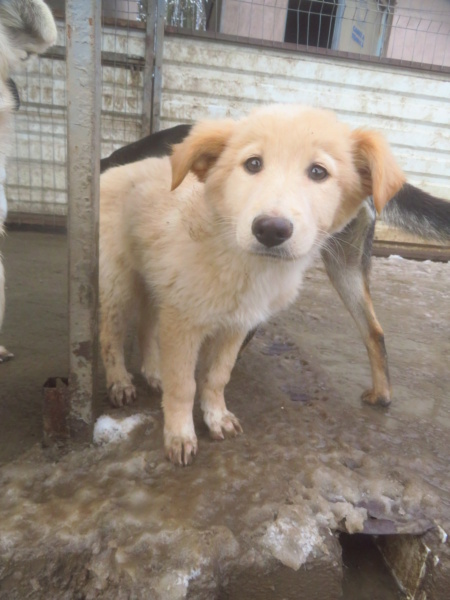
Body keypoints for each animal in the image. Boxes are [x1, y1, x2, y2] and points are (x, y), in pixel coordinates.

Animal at [99, 105, 404, 466]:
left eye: (319, 172)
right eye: (253, 164)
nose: (271, 229)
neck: (241, 257)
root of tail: (111, 170)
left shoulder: (236, 323)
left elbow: (217, 376)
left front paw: (216, 417)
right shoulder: (183, 321)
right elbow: (184, 385)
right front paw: (180, 435)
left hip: (155, 282)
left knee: (146, 325)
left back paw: (154, 371)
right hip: (118, 281)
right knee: (111, 336)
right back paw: (119, 382)